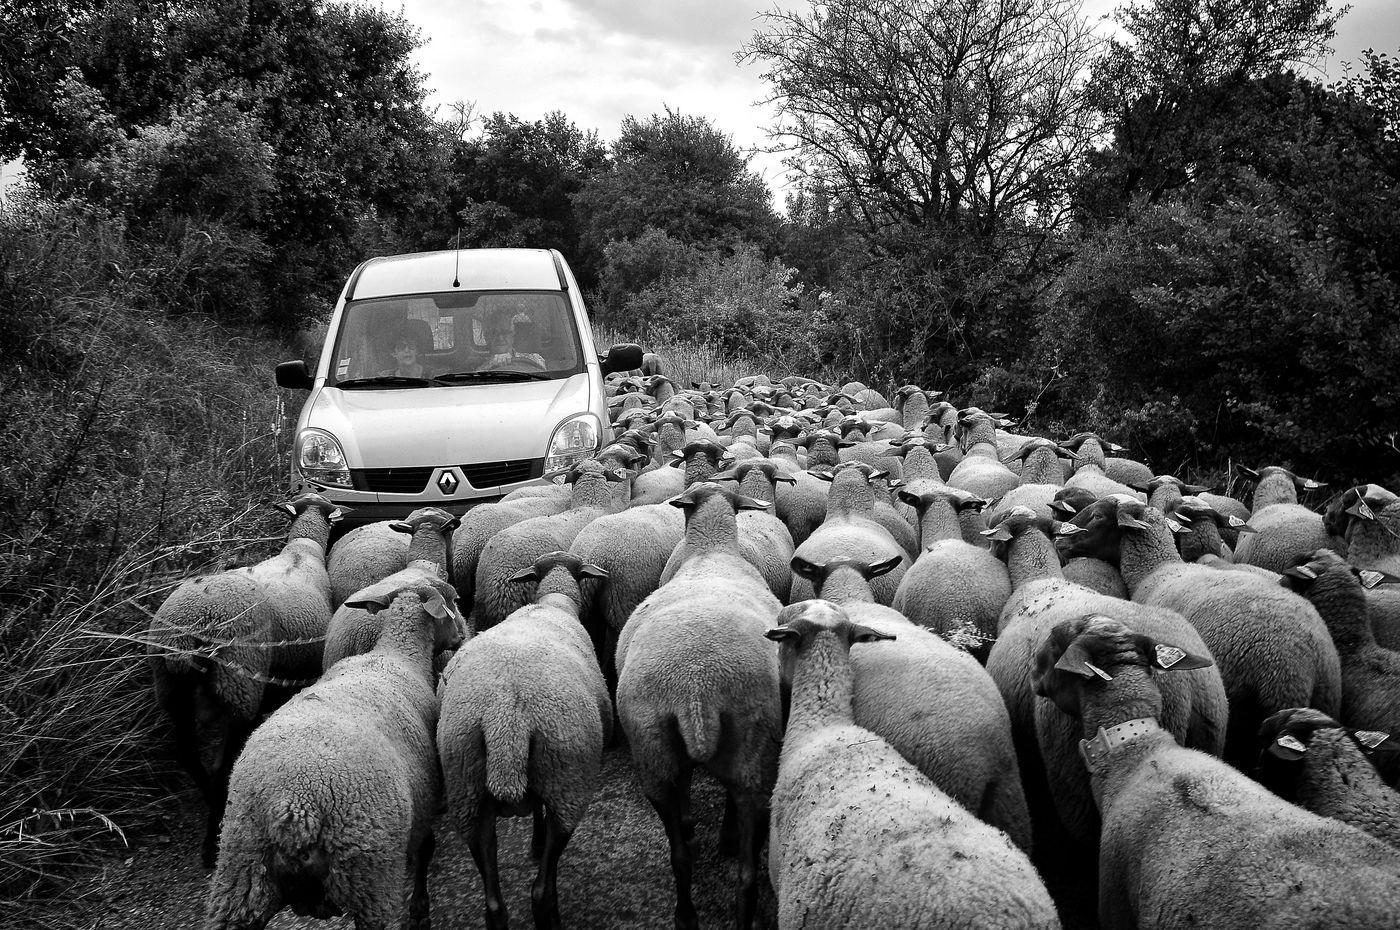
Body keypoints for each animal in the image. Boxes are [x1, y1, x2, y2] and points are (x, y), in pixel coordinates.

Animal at [147, 492, 346, 868]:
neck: (301, 551)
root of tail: (192, 625)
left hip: (170, 686)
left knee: (187, 754)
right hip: (239, 685)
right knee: (223, 766)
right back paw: (212, 839)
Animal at [203, 581, 465, 930]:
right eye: (452, 601)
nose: (461, 634)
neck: (397, 655)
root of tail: (294, 805)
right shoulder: (424, 806)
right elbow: (426, 850)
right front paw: (420, 908)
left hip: (241, 874)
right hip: (370, 877)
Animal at [437, 551, 613, 930]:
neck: (552, 604)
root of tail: (505, 720)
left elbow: (535, 810)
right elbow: (542, 816)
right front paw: (536, 844)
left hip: (467, 789)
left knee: (493, 901)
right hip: (567, 780)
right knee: (541, 890)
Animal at [614, 482, 783, 930]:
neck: (711, 550)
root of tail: (696, 690)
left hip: (657, 751)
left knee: (687, 853)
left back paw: (689, 909)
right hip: (725, 754)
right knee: (733, 866)